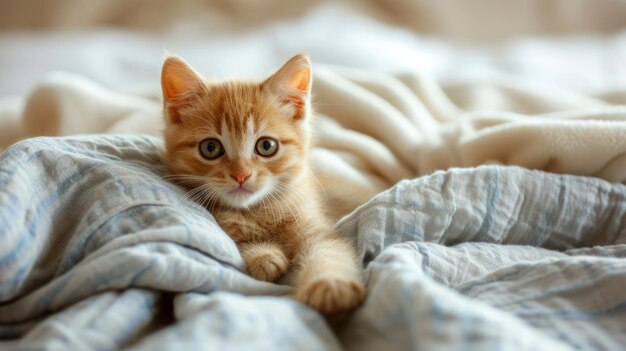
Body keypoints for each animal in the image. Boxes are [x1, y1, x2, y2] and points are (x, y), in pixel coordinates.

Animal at [161, 55, 366, 316]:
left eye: (266, 146)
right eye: (210, 148)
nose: (241, 175)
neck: (256, 211)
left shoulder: (315, 226)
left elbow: (329, 250)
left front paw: (331, 285)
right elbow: (238, 241)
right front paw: (264, 255)